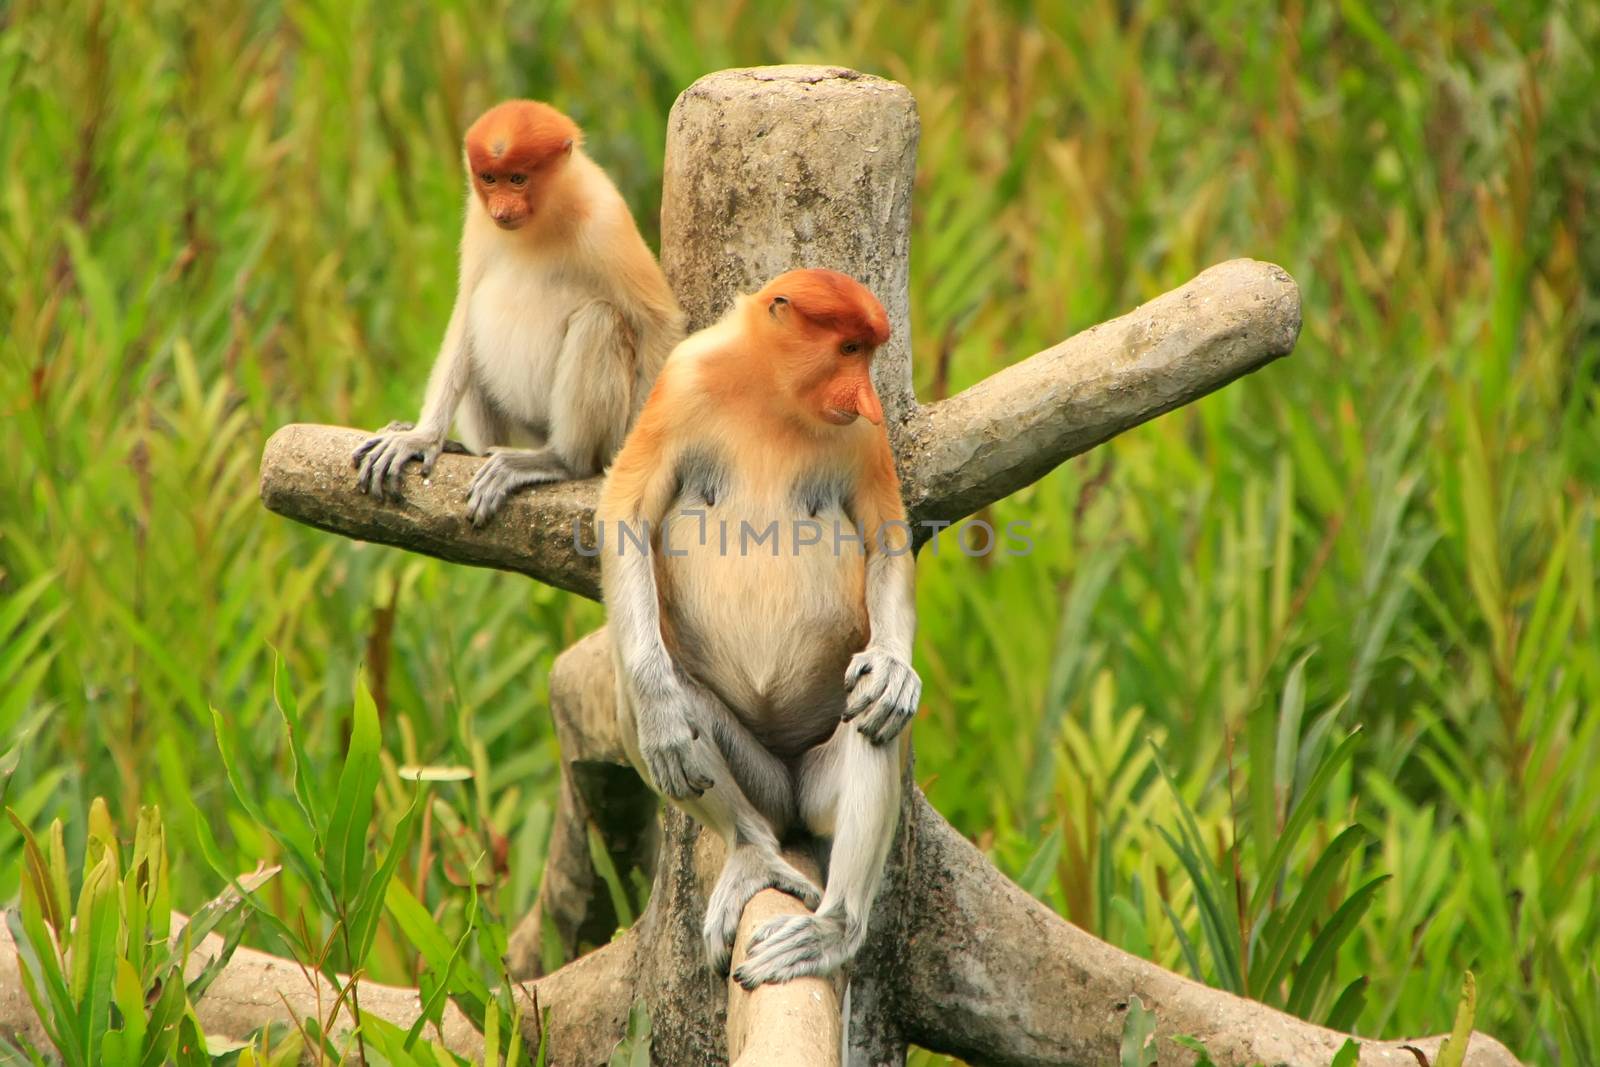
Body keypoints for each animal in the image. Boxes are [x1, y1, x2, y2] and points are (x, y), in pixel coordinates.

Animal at [356, 99, 681, 524]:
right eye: (489, 179)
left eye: (518, 179)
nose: (501, 210)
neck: (542, 219)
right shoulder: (477, 220)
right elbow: (465, 309)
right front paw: (419, 438)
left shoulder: (605, 221)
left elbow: (657, 323)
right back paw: (464, 449)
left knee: (600, 319)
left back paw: (560, 461)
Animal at [595, 271, 921, 991]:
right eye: (849, 348)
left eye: (868, 354)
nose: (866, 398)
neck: (773, 394)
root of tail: (792, 794)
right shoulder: (680, 382)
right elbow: (626, 512)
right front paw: (660, 708)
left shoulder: (865, 437)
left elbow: (886, 541)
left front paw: (893, 669)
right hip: (762, 779)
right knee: (641, 703)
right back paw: (750, 850)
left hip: (817, 781)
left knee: (872, 722)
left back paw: (831, 930)